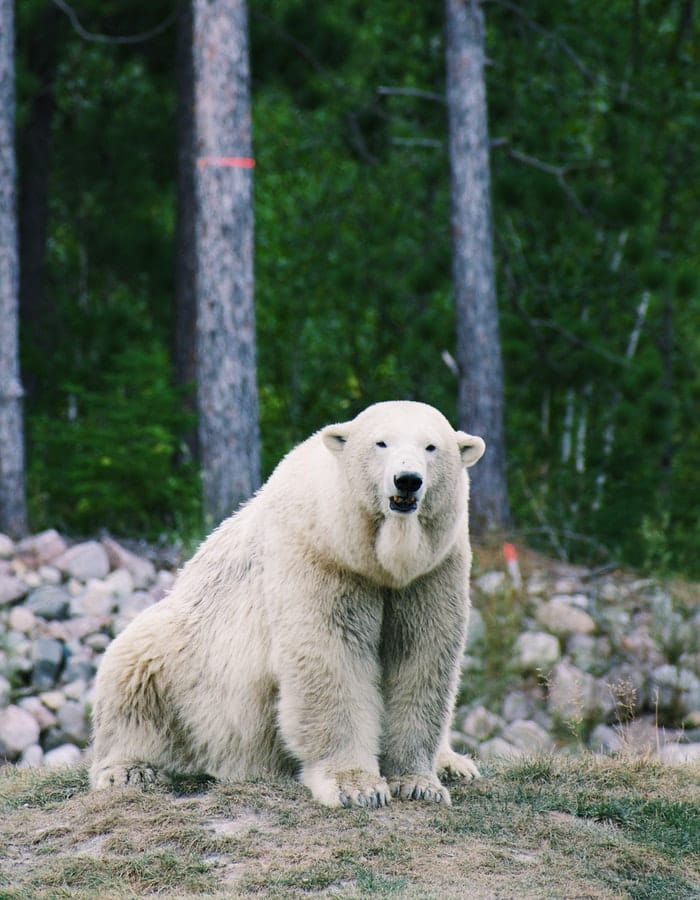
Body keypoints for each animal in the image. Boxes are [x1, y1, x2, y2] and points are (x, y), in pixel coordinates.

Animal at [90, 400, 485, 808]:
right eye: (381, 443)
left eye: (431, 447)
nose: (407, 480)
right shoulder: (318, 558)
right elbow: (330, 654)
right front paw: (356, 787)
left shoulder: (432, 571)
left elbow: (421, 655)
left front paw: (419, 783)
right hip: (181, 652)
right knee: (134, 671)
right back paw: (130, 769)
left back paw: (455, 764)